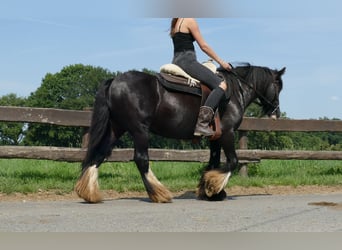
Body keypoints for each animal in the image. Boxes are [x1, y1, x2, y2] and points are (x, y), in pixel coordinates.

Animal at [75, 64, 286, 203]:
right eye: (278, 86)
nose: (276, 112)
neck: (234, 92)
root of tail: (115, 81)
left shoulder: (215, 138)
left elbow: (213, 162)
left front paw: (209, 190)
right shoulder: (227, 134)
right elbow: (232, 161)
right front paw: (214, 187)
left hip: (117, 128)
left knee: (100, 154)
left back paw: (89, 192)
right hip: (139, 130)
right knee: (141, 159)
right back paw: (159, 193)